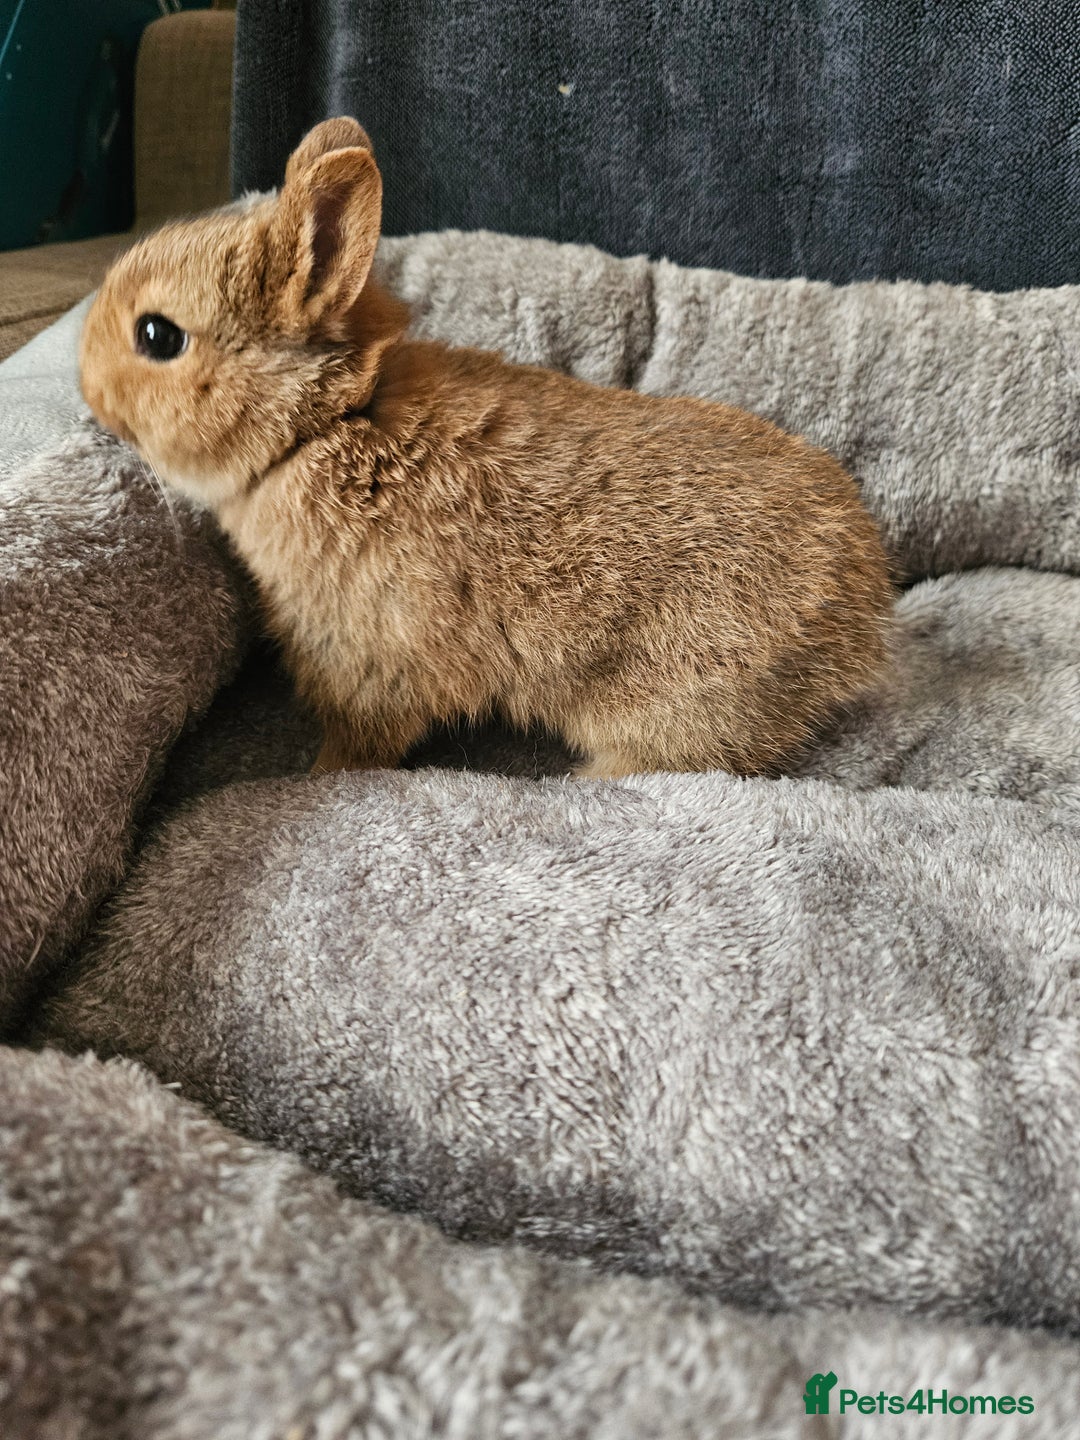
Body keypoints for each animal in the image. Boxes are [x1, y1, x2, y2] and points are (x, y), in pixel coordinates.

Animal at [79, 116, 894, 779]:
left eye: (157, 336)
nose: (86, 387)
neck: (322, 425)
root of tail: (865, 616)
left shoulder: (370, 661)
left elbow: (363, 742)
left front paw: (319, 778)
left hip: (684, 697)